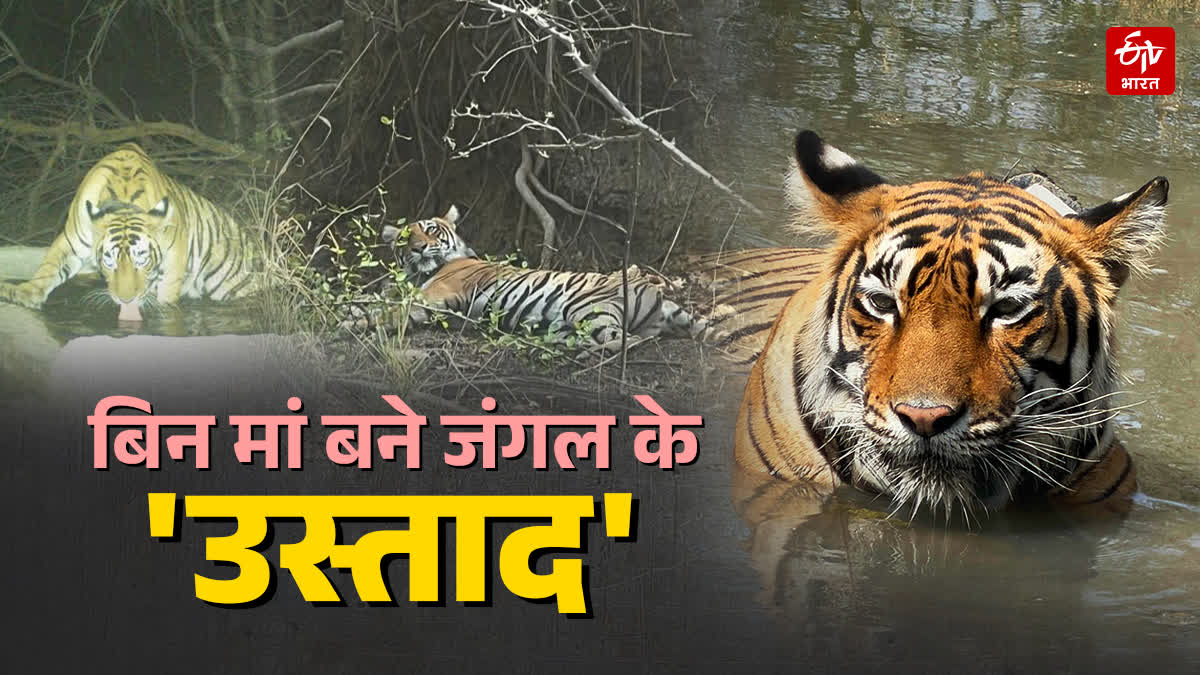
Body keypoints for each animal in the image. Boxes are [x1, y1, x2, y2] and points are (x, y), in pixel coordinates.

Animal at [0, 143, 261, 321]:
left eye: (142, 259)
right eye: (109, 260)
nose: (126, 299)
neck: (123, 202)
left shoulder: (172, 265)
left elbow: (166, 299)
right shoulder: (70, 241)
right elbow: (49, 268)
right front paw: (24, 293)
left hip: (235, 283)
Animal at [384, 205, 705, 350]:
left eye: (431, 230)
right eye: (405, 238)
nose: (418, 248)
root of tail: (659, 295)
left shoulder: (435, 292)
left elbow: (392, 309)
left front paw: (371, 319)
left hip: (587, 308)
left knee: (628, 340)